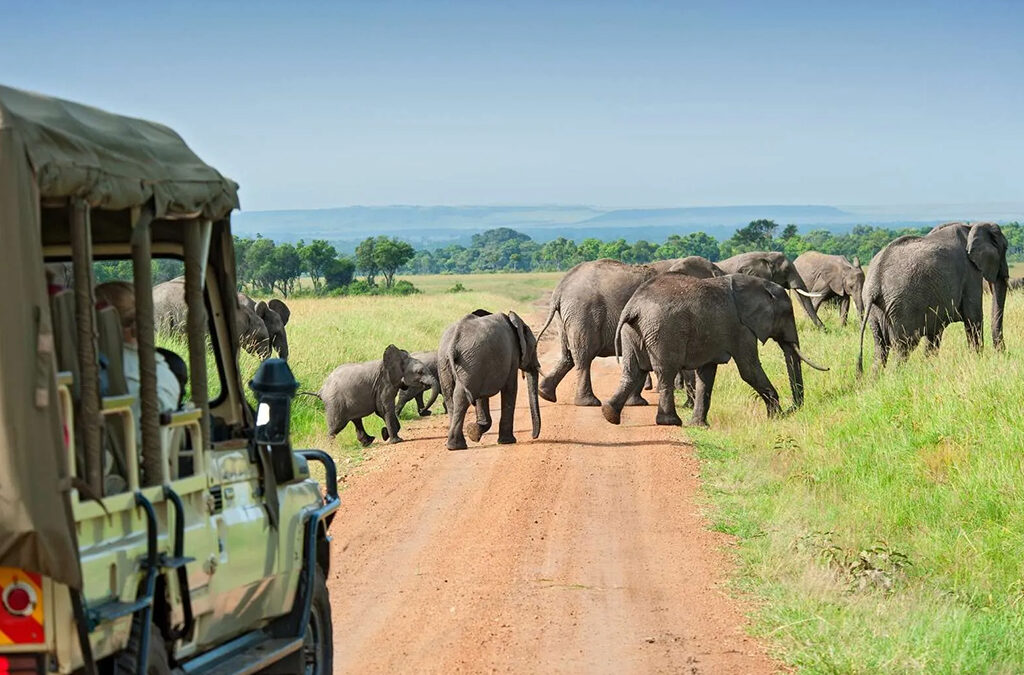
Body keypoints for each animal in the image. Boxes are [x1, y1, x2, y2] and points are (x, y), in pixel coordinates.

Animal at [438, 309, 542, 451]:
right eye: (535, 346)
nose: (533, 436)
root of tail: (453, 342)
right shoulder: (512, 356)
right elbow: (510, 389)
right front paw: (507, 441)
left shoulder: (483, 366)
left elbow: (482, 397)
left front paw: (474, 432)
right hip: (469, 362)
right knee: (461, 397)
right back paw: (457, 446)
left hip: (451, 362)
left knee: (450, 397)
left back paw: (455, 445)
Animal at [536, 259, 658, 406]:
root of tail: (559, 289)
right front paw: (638, 403)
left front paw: (636, 403)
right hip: (583, 314)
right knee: (584, 356)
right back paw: (589, 403)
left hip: (564, 317)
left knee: (568, 355)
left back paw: (544, 394)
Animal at [602, 274, 828, 428]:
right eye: (788, 313)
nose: (792, 410)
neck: (759, 285)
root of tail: (633, 307)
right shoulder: (741, 328)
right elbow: (749, 370)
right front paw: (776, 418)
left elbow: (707, 374)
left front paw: (699, 426)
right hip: (663, 331)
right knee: (666, 372)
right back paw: (671, 422)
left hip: (633, 332)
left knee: (632, 371)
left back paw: (609, 414)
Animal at [857, 222, 1008, 371]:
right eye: (1006, 248)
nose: (1001, 354)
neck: (971, 226)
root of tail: (875, 283)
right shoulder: (970, 273)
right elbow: (973, 318)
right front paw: (976, 361)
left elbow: (934, 333)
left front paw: (929, 367)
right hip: (902, 308)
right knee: (904, 347)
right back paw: (896, 374)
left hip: (876, 310)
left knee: (880, 349)